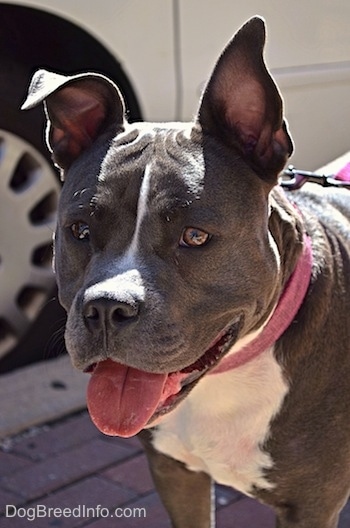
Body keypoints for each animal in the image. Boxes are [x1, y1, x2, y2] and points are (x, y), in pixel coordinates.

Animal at [23, 16, 350, 528]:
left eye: (194, 236)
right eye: (79, 230)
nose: (106, 310)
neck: (230, 375)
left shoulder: (310, 509)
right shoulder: (176, 476)